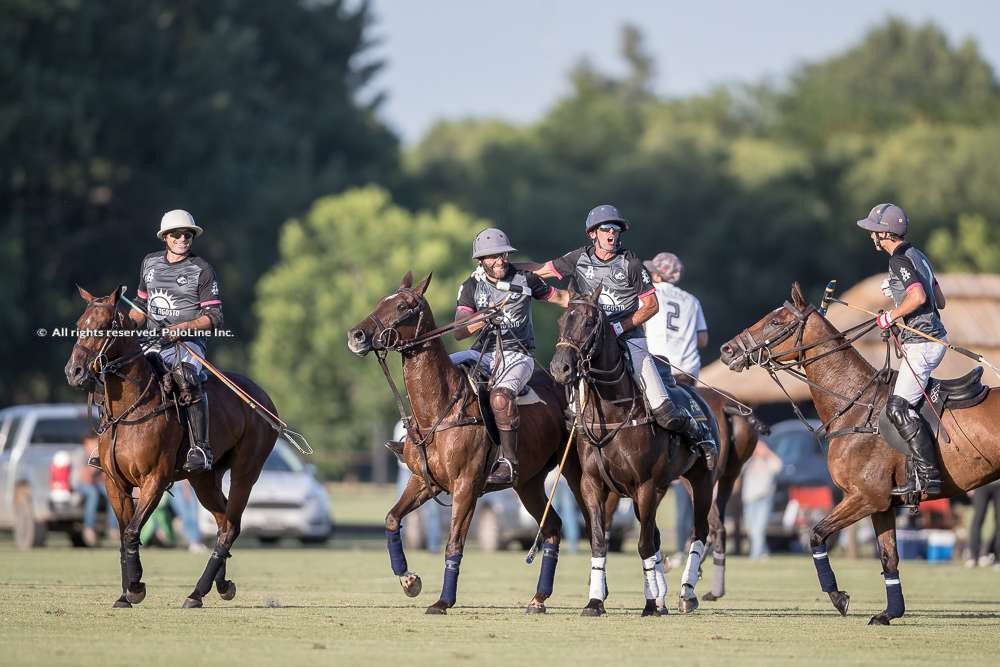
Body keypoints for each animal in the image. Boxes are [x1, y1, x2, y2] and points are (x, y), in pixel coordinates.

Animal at [65, 288, 278, 612]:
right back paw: (220, 585)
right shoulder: (114, 483)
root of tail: (263, 397)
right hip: (204, 478)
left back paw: (197, 593)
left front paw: (135, 588)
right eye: (78, 325)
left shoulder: (155, 478)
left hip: (246, 469)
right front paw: (125, 594)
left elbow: (132, 531)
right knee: (223, 520)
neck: (129, 409)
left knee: (230, 525)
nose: (74, 372)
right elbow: (124, 533)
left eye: (102, 327)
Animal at [346, 272, 584, 616]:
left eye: (403, 306)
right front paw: (408, 580)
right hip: (528, 482)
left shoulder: (466, 485)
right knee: (552, 526)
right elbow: (392, 518)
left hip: (579, 472)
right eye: (381, 301)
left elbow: (453, 543)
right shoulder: (423, 480)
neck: (438, 411)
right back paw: (538, 599)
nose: (356, 336)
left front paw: (443, 601)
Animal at [548, 290, 720, 620]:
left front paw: (651, 604)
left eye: (588, 322)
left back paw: (686, 594)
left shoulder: (644, 485)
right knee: (657, 535)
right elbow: (600, 540)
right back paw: (664, 596)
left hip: (701, 480)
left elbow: (642, 545)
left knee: (699, 531)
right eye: (561, 321)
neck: (612, 411)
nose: (560, 368)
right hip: (662, 487)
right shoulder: (593, 484)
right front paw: (595, 602)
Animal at [724, 284, 1000, 628]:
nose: (727, 350)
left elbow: (816, 534)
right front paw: (889, 613)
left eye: (776, 321)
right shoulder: (881, 504)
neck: (855, 405)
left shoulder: (865, 495)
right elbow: (888, 556)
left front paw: (838, 597)